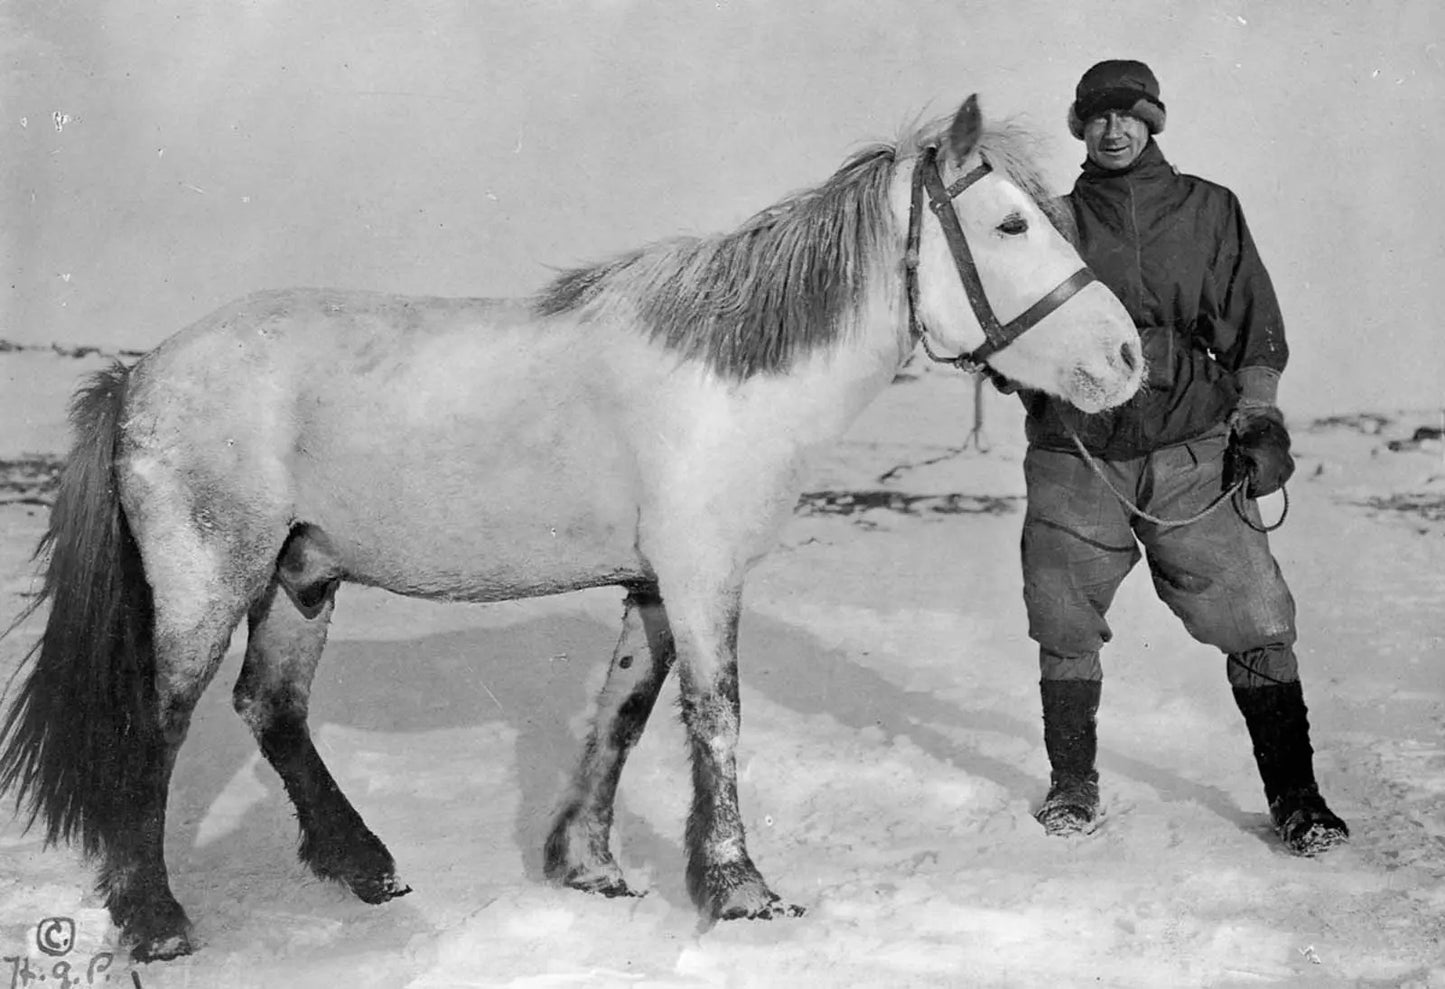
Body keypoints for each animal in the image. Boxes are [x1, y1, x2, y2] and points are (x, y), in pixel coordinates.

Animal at [0, 95, 1142, 961]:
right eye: (1009, 226)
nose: (1127, 358)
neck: (731, 382)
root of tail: (141, 371)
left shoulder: (653, 584)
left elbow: (622, 716)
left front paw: (588, 866)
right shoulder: (701, 576)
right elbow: (716, 721)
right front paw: (740, 889)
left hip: (302, 574)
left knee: (271, 708)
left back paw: (364, 864)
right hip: (210, 577)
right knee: (161, 721)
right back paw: (156, 919)